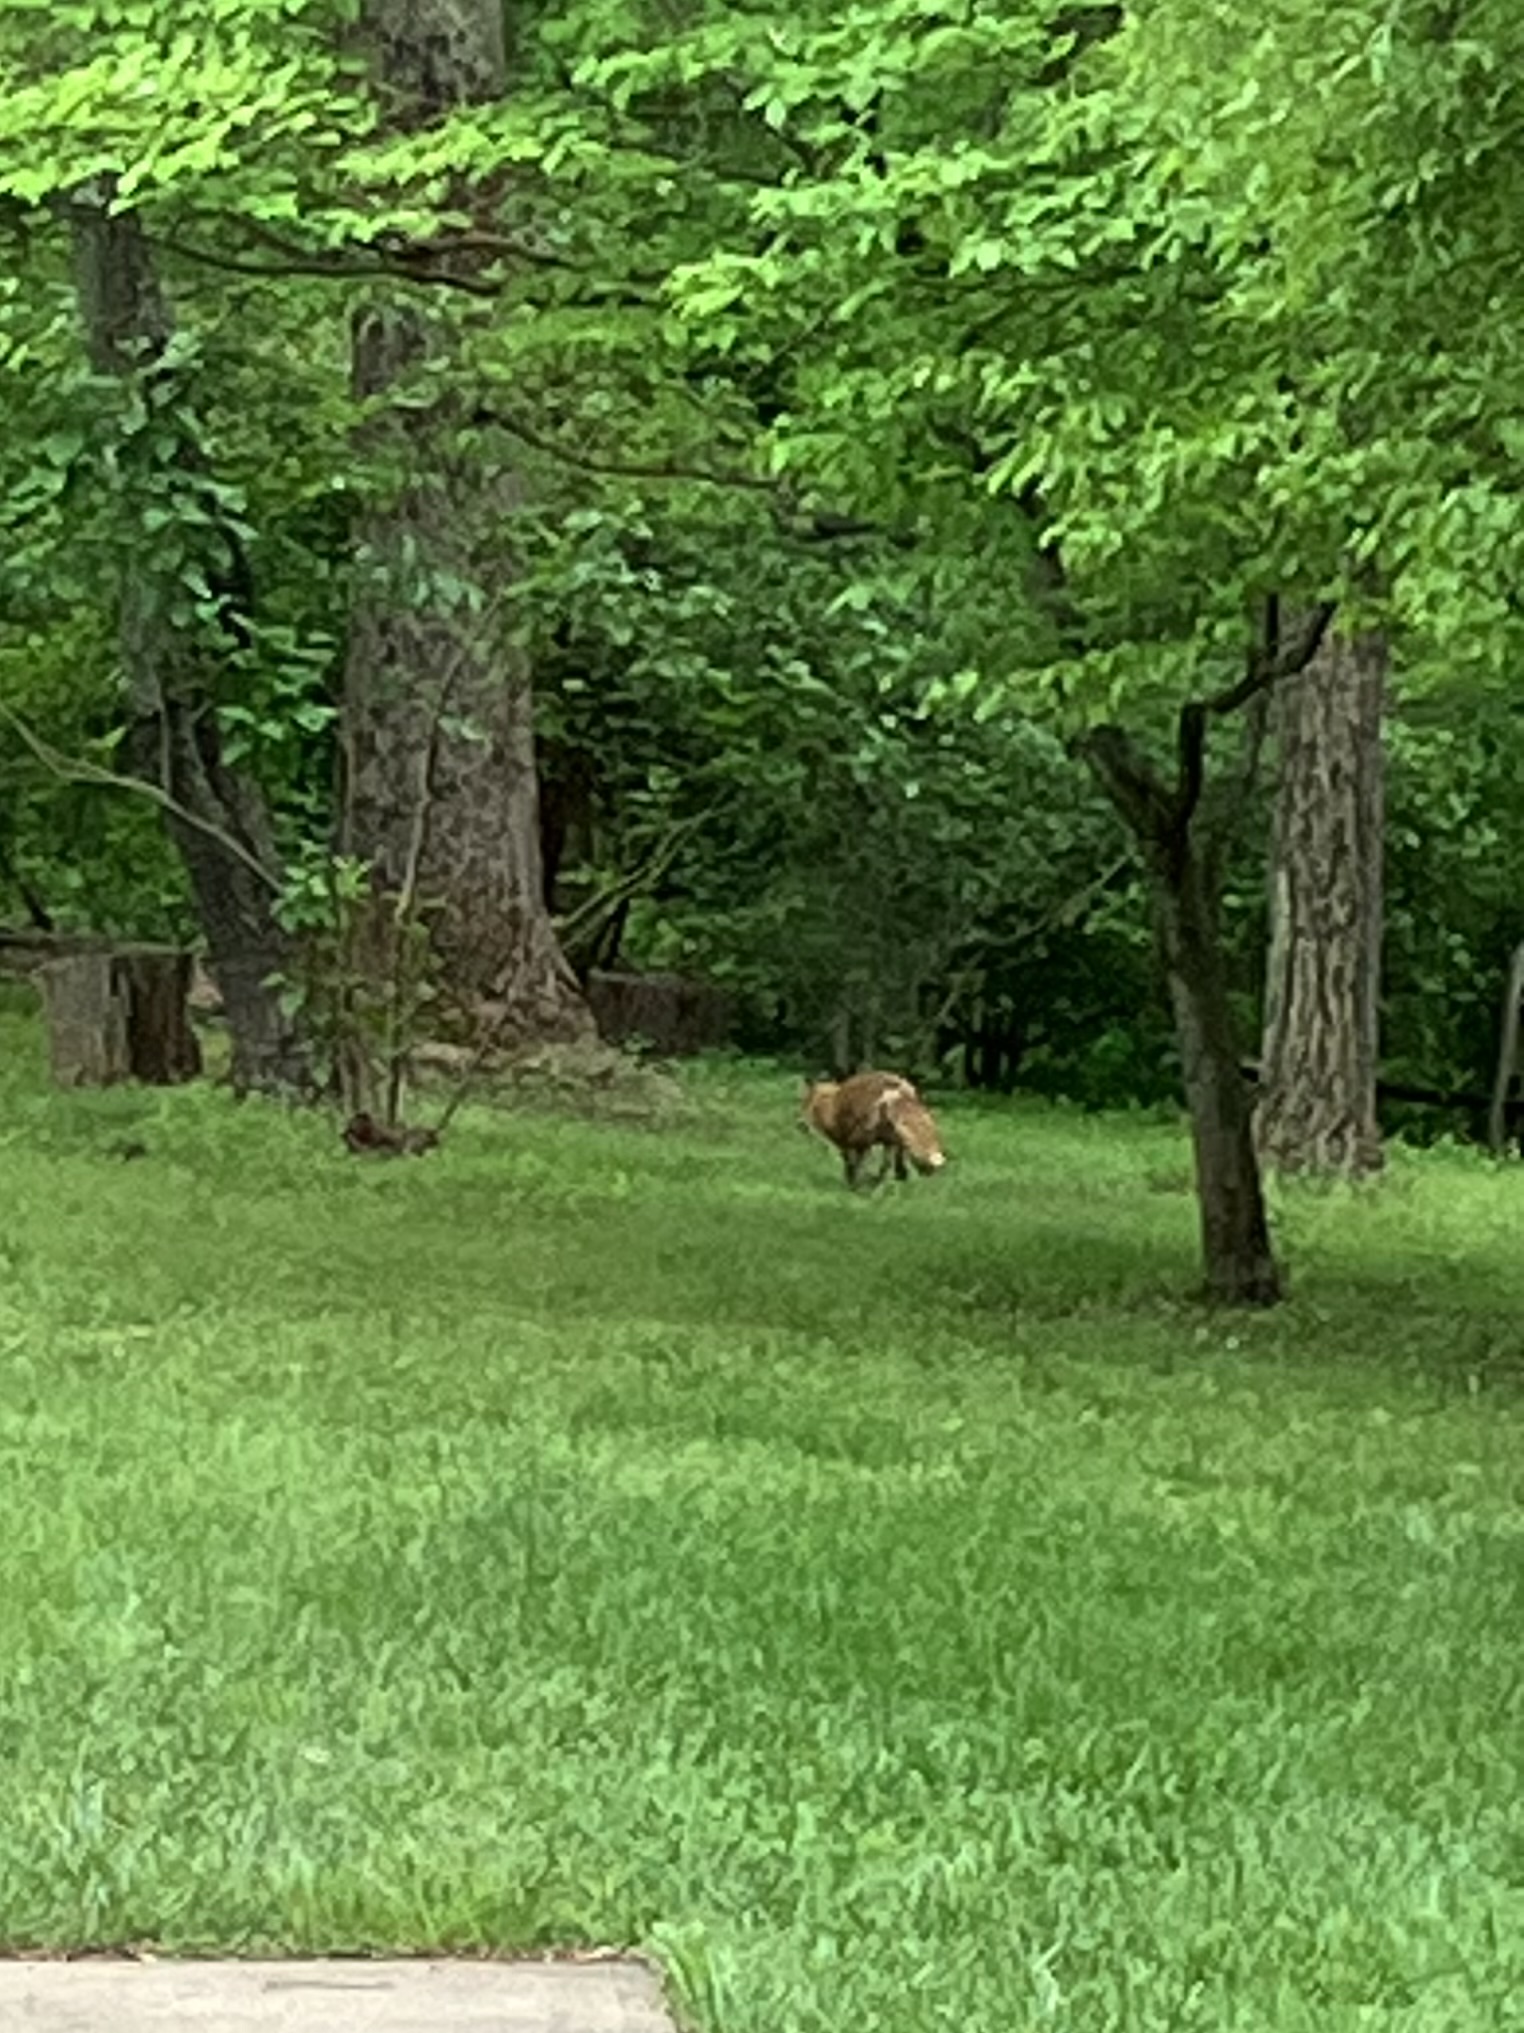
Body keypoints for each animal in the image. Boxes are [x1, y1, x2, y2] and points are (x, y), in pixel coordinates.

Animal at [800, 1070, 949, 1189]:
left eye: (930, 1124)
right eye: (903, 1128)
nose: (936, 1162)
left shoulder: (886, 1143)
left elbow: (885, 1166)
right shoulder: (857, 1142)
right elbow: (856, 1165)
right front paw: (857, 1184)